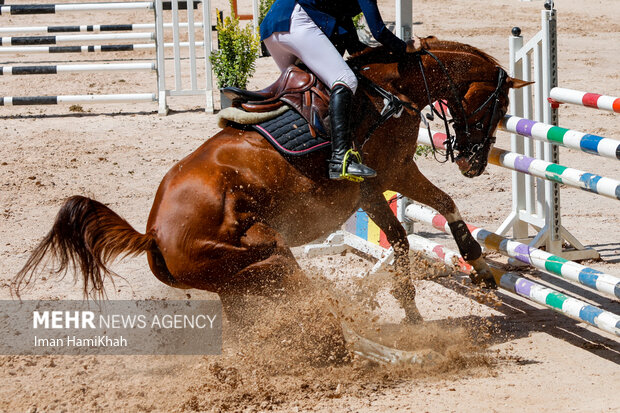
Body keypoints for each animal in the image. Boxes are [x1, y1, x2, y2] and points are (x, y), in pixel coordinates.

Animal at [13, 38, 528, 322]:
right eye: (500, 106)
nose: (474, 164)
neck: (394, 87)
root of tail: (152, 234)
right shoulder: (395, 171)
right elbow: (439, 209)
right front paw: (477, 269)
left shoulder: (370, 189)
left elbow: (405, 236)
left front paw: (413, 302)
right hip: (267, 255)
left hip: (241, 283)